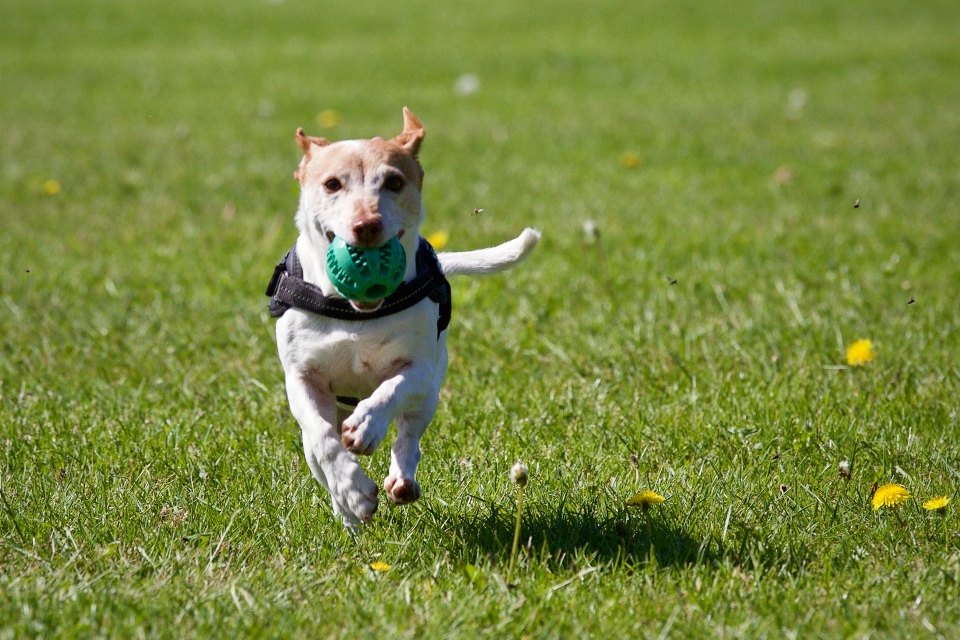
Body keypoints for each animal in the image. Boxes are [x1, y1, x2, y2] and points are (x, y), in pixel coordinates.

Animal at [268, 109, 540, 528]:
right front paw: (353, 491)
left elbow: (391, 391)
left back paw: (401, 479)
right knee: (319, 453)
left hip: (430, 394)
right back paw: (348, 515)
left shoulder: (420, 369)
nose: (366, 225)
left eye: (394, 182)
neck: (355, 314)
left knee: (409, 435)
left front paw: (367, 425)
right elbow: (324, 439)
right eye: (332, 184)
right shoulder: (302, 379)